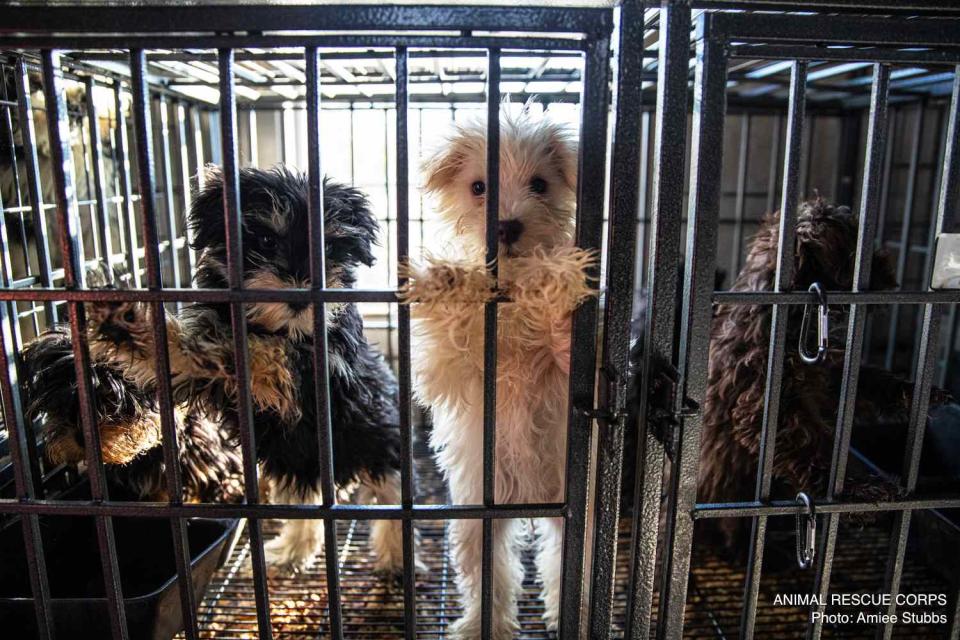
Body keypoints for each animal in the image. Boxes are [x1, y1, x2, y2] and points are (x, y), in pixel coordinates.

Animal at [408, 107, 588, 636]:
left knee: (563, 567)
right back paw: (481, 625)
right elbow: (456, 346)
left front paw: (558, 310)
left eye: (540, 184)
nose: (507, 225)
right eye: (478, 187)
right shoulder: (450, 374)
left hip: (575, 519)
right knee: (490, 578)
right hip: (476, 522)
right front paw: (449, 280)